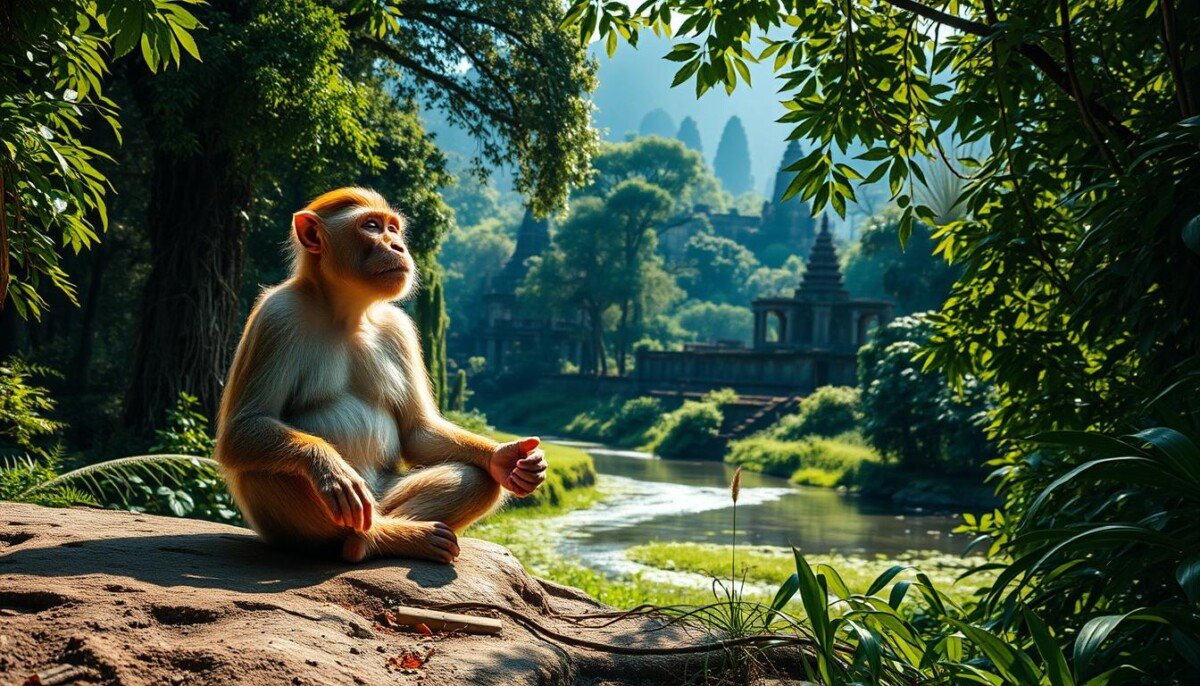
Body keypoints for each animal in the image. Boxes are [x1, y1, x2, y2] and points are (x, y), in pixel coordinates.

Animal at [214, 187, 547, 564]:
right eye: (372, 227)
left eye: (393, 228)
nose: (398, 246)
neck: (348, 312)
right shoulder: (277, 316)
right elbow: (243, 428)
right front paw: (328, 466)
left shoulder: (398, 328)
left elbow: (417, 431)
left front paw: (505, 458)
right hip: (297, 529)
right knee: (270, 466)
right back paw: (372, 538)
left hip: (382, 498)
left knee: (476, 478)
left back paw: (401, 535)